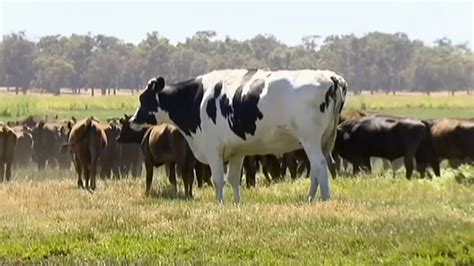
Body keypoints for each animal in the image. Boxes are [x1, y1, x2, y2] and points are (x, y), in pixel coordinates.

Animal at [128, 68, 346, 202]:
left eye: (143, 98)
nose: (132, 120)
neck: (197, 99)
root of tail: (331, 77)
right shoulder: (237, 151)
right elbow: (233, 178)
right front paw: (236, 203)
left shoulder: (213, 148)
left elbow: (218, 179)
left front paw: (220, 203)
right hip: (321, 141)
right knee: (316, 169)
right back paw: (310, 198)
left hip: (310, 139)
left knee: (320, 166)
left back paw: (325, 199)